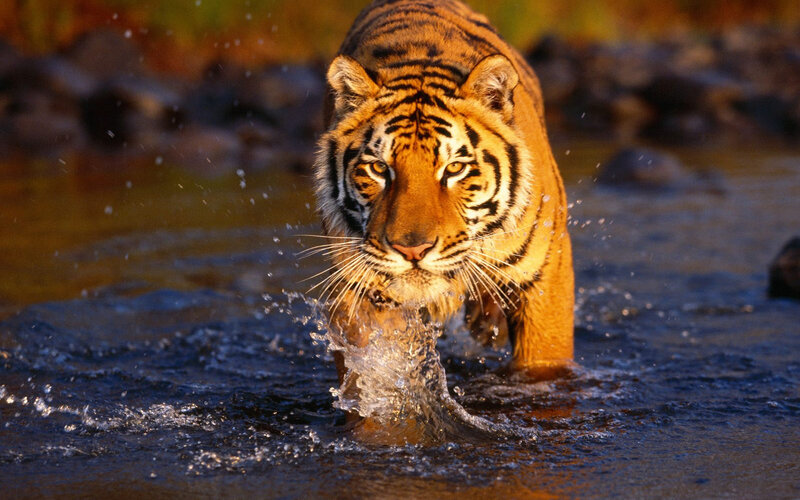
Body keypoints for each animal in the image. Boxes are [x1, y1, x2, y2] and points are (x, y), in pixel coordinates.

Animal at [312, 0, 574, 383]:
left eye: (453, 169)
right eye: (379, 169)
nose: (412, 250)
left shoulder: (546, 275)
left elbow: (543, 362)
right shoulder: (357, 289)